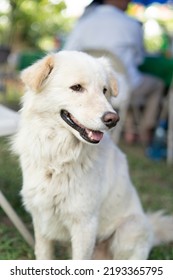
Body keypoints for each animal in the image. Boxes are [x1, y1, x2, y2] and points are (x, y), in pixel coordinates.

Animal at [12, 50, 173, 260]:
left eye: (104, 90)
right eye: (76, 87)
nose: (113, 119)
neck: (59, 156)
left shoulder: (85, 224)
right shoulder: (40, 219)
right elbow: (44, 255)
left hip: (130, 228)